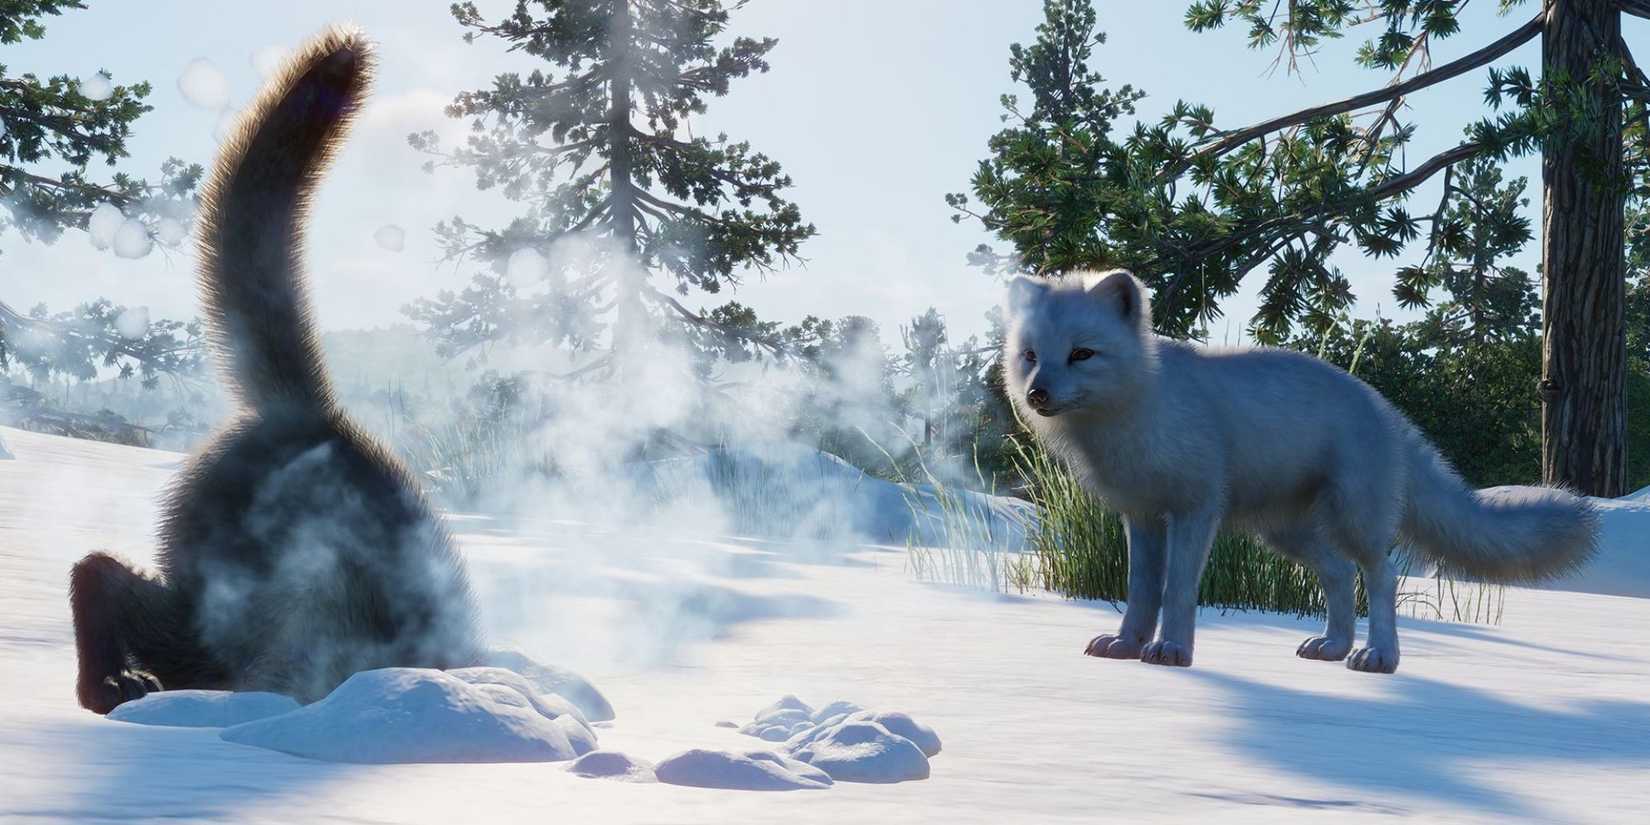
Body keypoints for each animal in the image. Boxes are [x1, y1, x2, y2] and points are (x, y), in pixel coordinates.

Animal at [1003, 270, 1597, 674]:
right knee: (1338, 575)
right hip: (1285, 533)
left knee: (1379, 576)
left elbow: (1177, 590)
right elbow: (1142, 590)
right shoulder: (1143, 517)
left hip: (1352, 519)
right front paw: (1126, 645)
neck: (1138, 408)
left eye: (1082, 353)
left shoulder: (1196, 509)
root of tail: (1385, 410)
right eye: (1031, 355)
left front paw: (1171, 650)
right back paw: (1332, 647)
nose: (1037, 395)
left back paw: (1378, 656)